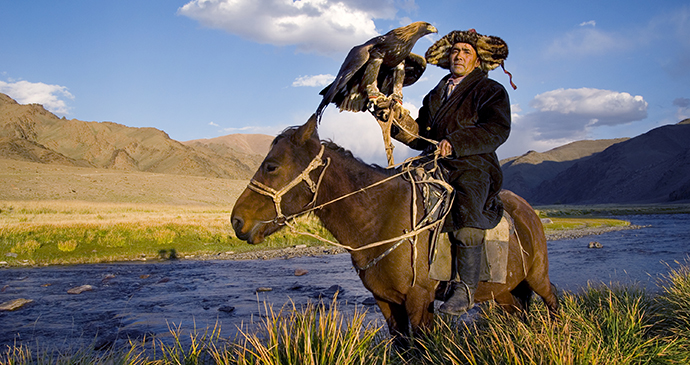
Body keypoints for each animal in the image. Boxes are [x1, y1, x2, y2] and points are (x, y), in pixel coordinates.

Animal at [232, 114, 560, 338]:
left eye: (271, 166)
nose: (237, 221)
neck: (380, 219)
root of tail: (528, 211)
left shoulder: (419, 301)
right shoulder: (386, 302)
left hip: (537, 276)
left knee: (552, 299)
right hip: (503, 290)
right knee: (517, 312)